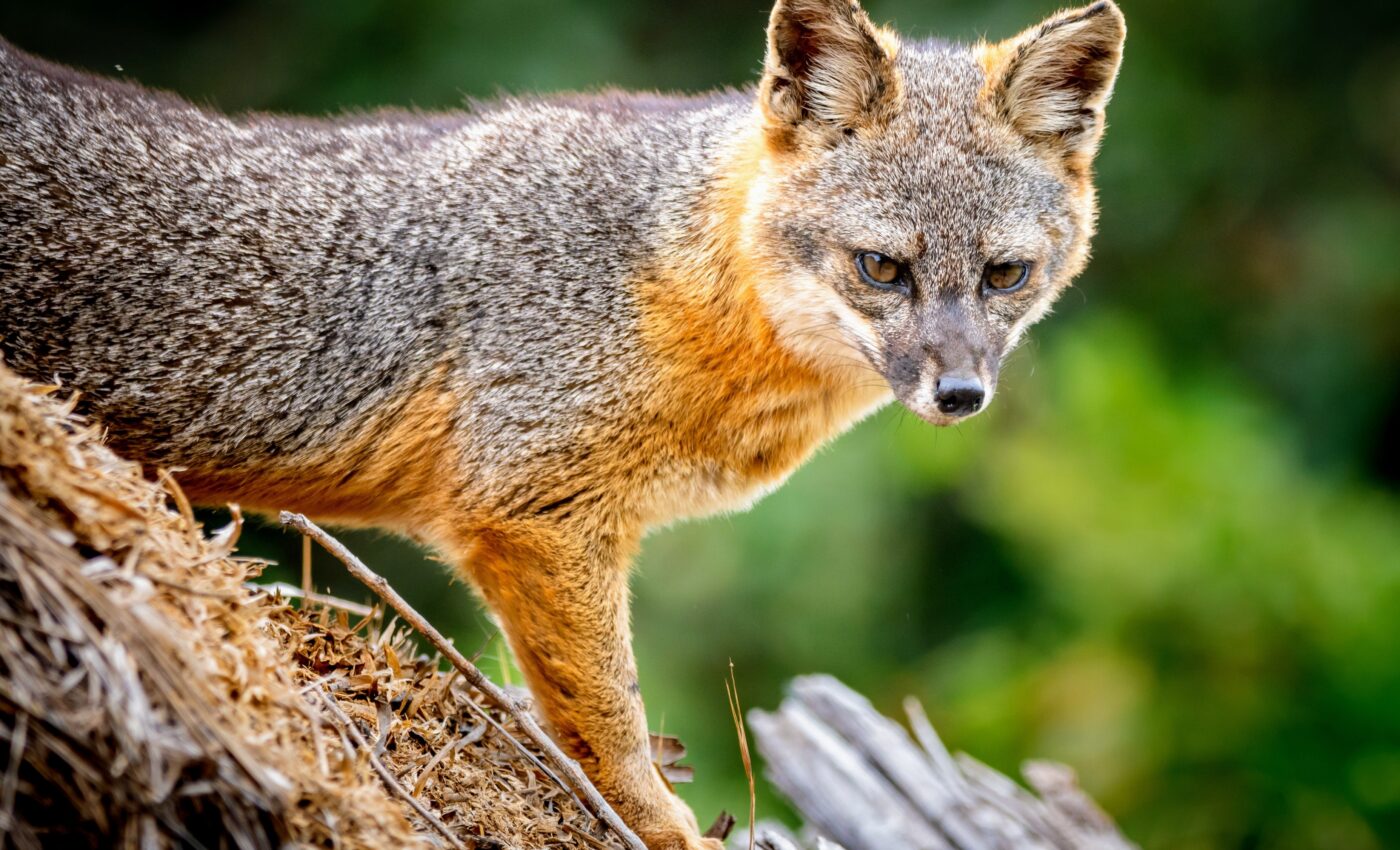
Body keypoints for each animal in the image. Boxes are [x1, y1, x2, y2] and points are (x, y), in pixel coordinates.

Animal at [0, 1, 1125, 847]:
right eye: (881, 268)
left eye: (1004, 275)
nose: (959, 395)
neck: (676, 280)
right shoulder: (536, 515)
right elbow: (606, 715)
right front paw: (657, 825)